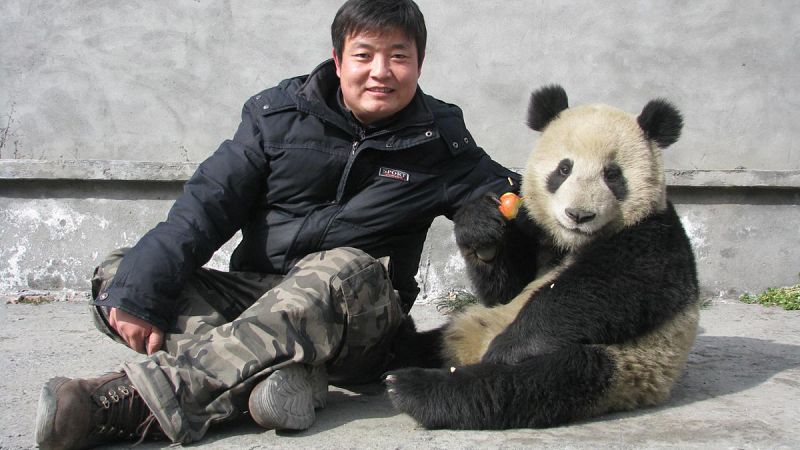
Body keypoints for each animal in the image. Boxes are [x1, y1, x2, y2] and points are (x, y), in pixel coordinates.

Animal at [384, 85, 699, 430]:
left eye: (613, 175)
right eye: (564, 169)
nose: (579, 215)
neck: (573, 242)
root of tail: (467, 354)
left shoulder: (654, 236)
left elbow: (604, 289)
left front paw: (511, 345)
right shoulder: (540, 236)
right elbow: (508, 288)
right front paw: (481, 229)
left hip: (621, 364)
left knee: (528, 383)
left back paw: (416, 387)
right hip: (468, 324)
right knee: (437, 340)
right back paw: (397, 346)